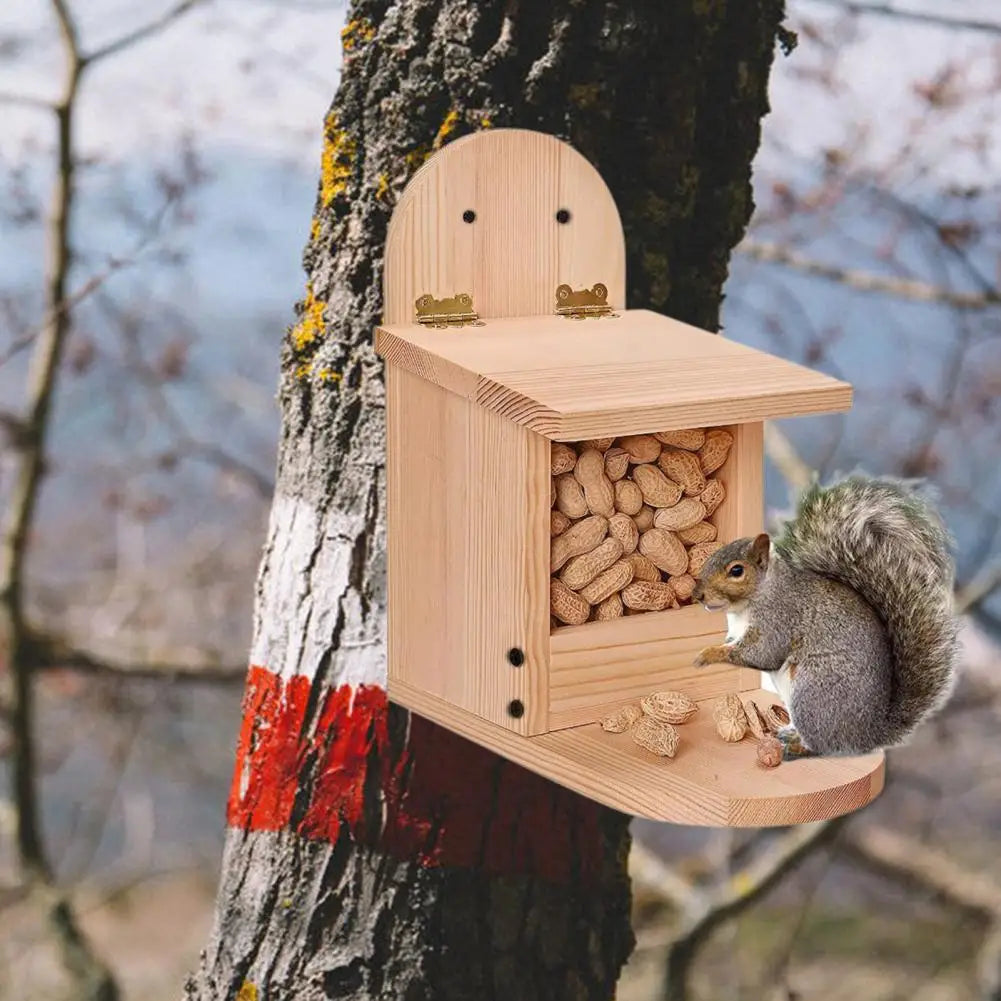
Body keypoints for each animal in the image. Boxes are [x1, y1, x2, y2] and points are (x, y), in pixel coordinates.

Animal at [690, 474, 959, 761]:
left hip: (814, 691)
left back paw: (795, 746)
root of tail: (867, 736)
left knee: (822, 746)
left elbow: (761, 654)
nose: (697, 594)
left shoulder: (779, 618)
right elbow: (734, 644)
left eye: (737, 571)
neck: (749, 602)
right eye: (710, 557)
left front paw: (707, 654)